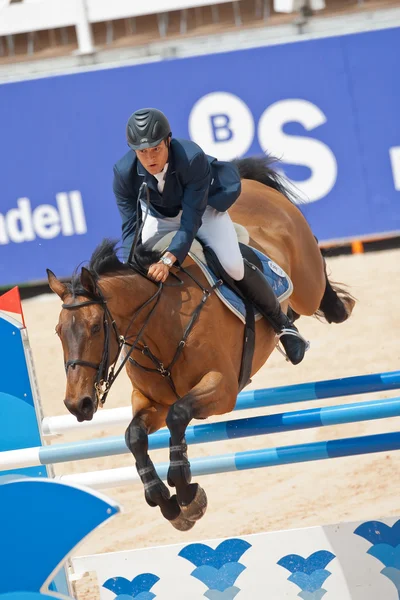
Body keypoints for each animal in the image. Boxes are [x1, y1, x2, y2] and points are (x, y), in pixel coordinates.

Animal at [47, 158, 354, 528]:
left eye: (94, 327)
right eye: (59, 332)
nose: (77, 404)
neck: (160, 327)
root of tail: (253, 185)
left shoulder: (222, 389)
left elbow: (179, 415)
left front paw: (185, 491)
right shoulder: (150, 402)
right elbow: (134, 436)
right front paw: (163, 499)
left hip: (306, 282)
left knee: (314, 282)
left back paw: (330, 311)